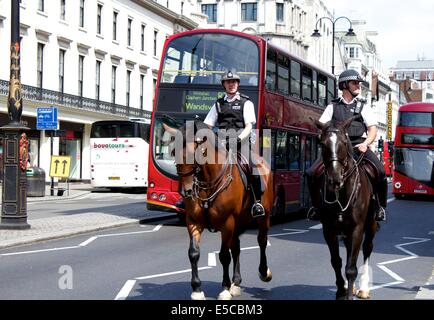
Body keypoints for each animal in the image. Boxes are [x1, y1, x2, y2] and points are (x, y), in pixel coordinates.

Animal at [168, 120, 272, 300]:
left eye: (196, 153)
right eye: (174, 152)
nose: (186, 191)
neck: (208, 182)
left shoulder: (226, 222)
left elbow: (224, 256)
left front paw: (224, 288)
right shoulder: (194, 222)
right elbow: (193, 253)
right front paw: (197, 289)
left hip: (262, 217)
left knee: (262, 241)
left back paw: (264, 272)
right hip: (238, 221)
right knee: (236, 247)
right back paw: (236, 283)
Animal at [314, 118, 378, 300]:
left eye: (344, 142)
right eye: (322, 143)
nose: (335, 178)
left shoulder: (357, 228)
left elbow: (351, 268)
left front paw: (349, 293)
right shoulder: (329, 229)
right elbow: (336, 261)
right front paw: (341, 290)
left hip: (370, 225)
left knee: (367, 248)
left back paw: (363, 288)